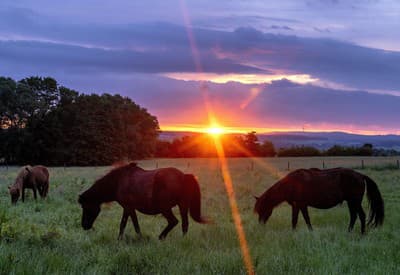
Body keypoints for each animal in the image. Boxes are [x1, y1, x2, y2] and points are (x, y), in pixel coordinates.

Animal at [78, 163, 209, 240]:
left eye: (86, 207)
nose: (84, 226)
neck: (118, 182)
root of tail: (183, 176)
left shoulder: (129, 207)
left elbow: (130, 224)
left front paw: (130, 239)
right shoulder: (128, 208)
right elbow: (127, 224)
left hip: (165, 208)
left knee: (174, 221)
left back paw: (161, 237)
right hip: (182, 205)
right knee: (184, 224)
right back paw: (182, 240)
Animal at [253, 167, 384, 234]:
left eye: (262, 209)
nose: (260, 224)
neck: (291, 184)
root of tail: (360, 175)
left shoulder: (301, 204)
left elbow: (303, 219)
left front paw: (308, 232)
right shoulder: (297, 205)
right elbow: (297, 219)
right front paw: (296, 232)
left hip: (355, 201)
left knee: (361, 215)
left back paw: (362, 233)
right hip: (351, 202)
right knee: (354, 216)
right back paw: (349, 232)